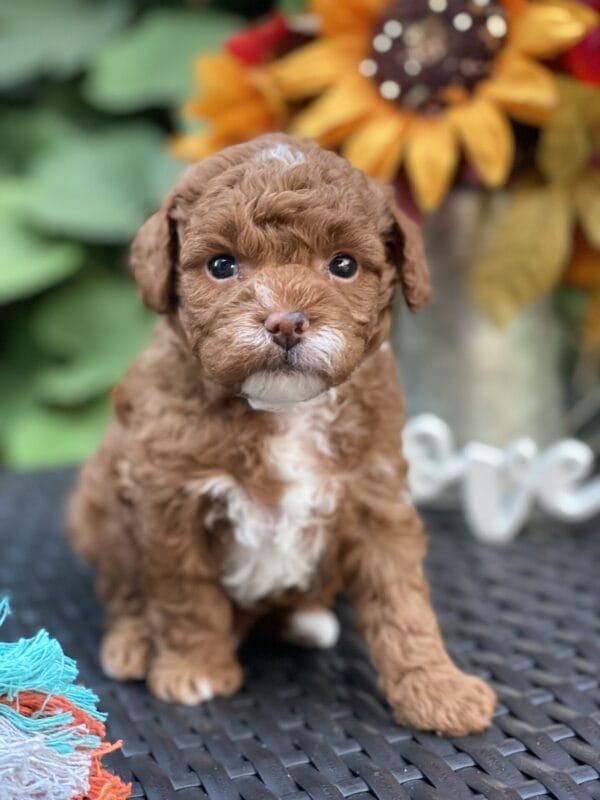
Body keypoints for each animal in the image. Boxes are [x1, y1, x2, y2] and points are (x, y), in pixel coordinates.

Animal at [68, 133, 494, 736]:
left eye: (343, 265)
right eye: (222, 265)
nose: (286, 322)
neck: (282, 408)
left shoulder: (376, 495)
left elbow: (402, 602)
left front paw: (437, 689)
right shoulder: (170, 499)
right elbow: (185, 594)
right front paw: (194, 668)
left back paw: (307, 619)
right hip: (99, 509)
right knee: (124, 588)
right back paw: (131, 642)